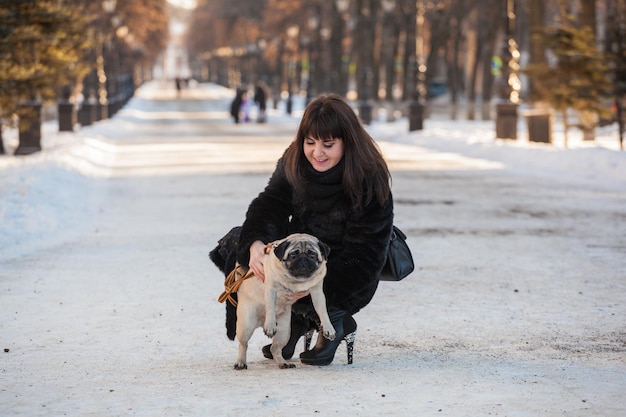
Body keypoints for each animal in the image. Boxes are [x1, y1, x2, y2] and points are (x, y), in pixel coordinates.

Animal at [233, 232, 332, 368]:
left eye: (312, 255)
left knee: (275, 348)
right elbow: (270, 307)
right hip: (246, 325)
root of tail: (261, 321)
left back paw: (283, 363)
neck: (296, 280)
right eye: (293, 254)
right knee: (243, 344)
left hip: (284, 331)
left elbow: (323, 311)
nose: (303, 259)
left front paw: (328, 328)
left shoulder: (317, 293)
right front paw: (270, 325)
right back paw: (241, 362)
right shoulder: (271, 289)